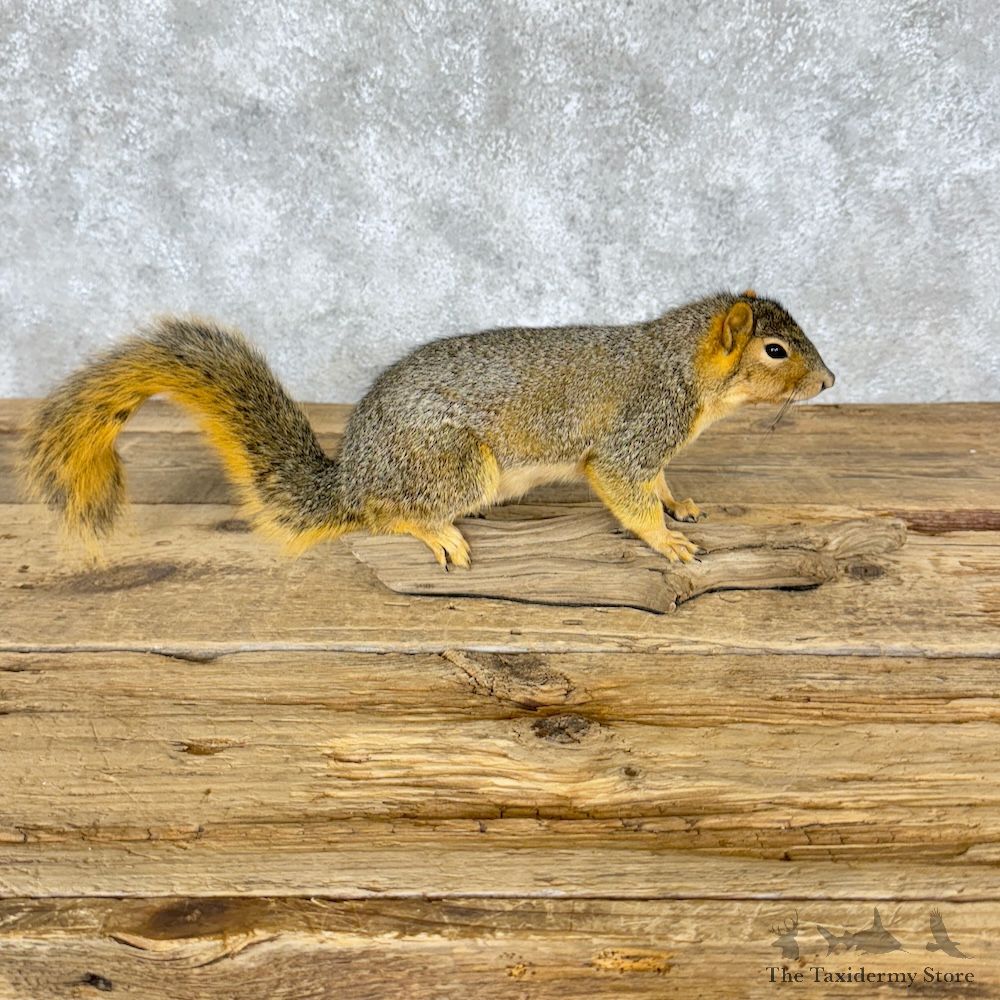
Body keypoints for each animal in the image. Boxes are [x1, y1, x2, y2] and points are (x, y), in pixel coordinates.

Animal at [22, 290, 834, 569]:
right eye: (775, 350)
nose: (829, 382)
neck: (682, 368)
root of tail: (350, 477)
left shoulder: (653, 445)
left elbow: (659, 481)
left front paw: (681, 504)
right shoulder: (634, 431)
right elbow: (625, 490)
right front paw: (666, 541)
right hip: (454, 465)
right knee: (384, 514)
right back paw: (434, 532)